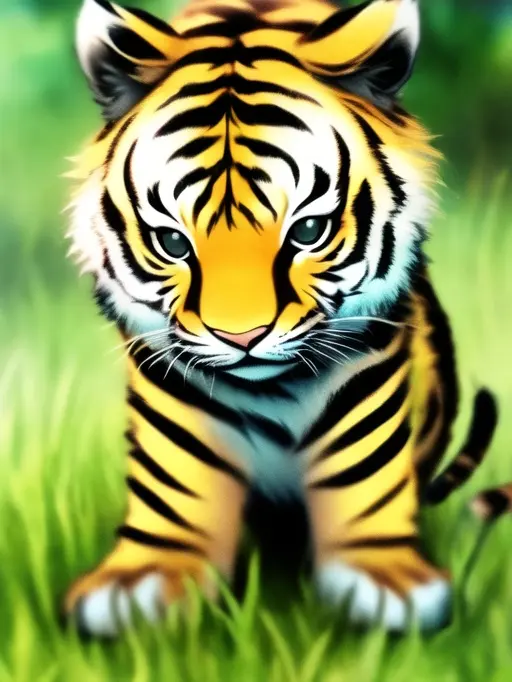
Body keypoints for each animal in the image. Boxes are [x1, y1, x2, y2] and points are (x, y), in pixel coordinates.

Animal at [65, 0, 502, 637]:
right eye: (173, 242)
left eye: (308, 231)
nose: (241, 337)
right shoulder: (165, 380)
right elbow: (173, 481)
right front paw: (138, 583)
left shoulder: (372, 366)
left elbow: (366, 467)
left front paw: (386, 581)